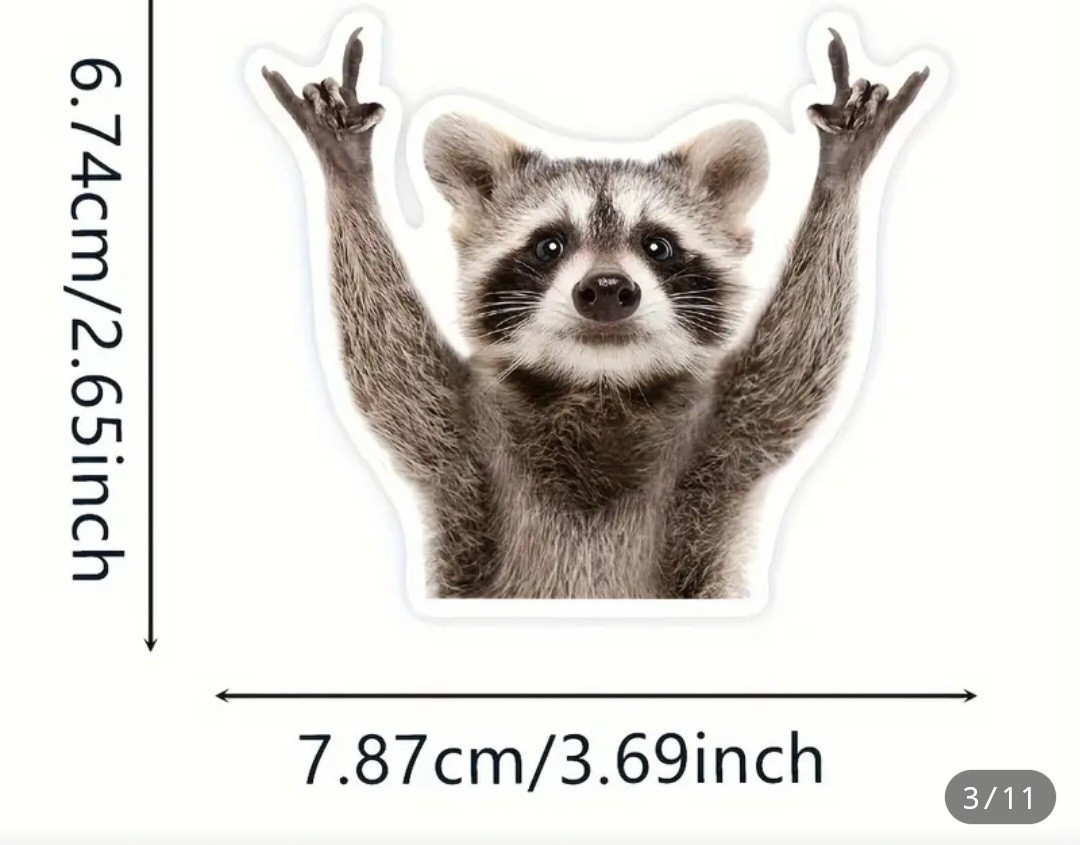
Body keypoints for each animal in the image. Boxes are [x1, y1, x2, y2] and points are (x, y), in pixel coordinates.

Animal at [262, 28, 929, 598]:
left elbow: (794, 367)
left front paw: (839, 173)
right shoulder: (461, 442)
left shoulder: (724, 439)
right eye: (549, 246)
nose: (607, 288)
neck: (599, 385)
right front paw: (348, 173)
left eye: (657, 246)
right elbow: (389, 367)